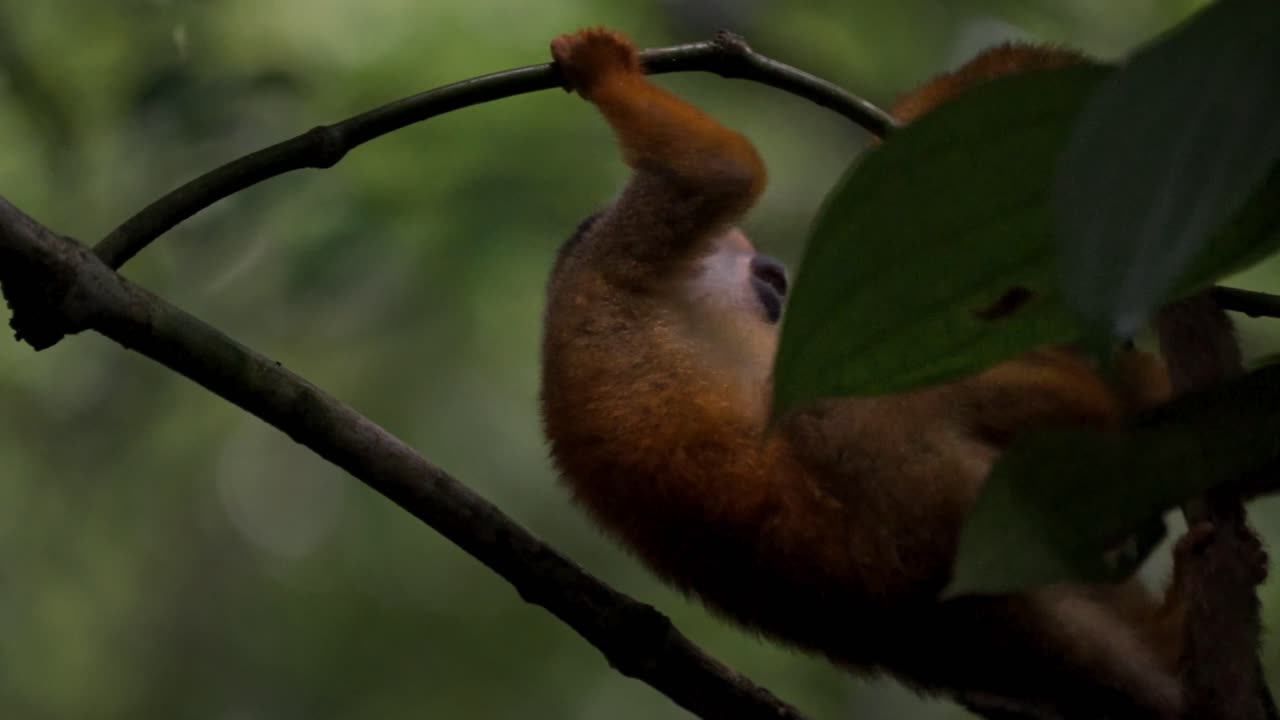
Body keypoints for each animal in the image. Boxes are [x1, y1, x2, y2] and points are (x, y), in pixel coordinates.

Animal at [540, 29, 1194, 718]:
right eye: (764, 276)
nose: (779, 279)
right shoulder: (625, 248)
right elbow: (716, 174)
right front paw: (606, 73)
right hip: (921, 494)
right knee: (857, 406)